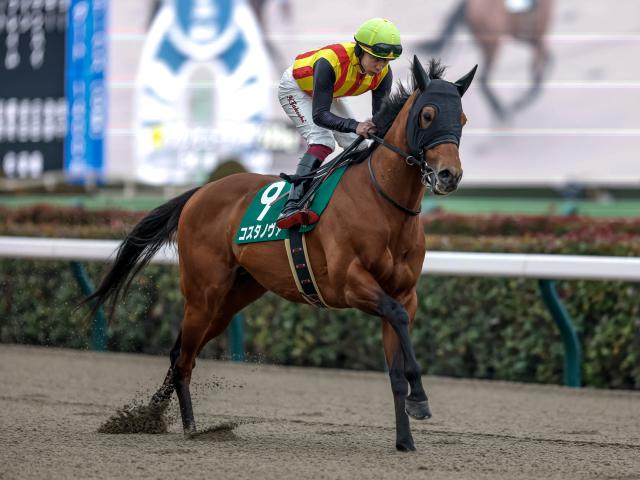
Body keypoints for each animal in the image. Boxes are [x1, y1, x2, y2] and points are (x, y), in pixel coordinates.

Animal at [85, 56, 476, 452]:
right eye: (427, 114)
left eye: (461, 119)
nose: (449, 175)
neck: (383, 204)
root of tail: (200, 192)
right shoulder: (350, 284)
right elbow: (395, 319)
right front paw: (420, 399)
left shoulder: (404, 294)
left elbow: (396, 359)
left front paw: (405, 439)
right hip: (202, 293)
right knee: (184, 359)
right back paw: (190, 427)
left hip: (233, 298)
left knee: (181, 351)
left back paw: (150, 417)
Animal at [420, 0, 552, 119]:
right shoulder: (539, 39)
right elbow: (538, 74)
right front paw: (521, 102)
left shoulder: (533, 40)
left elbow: (548, 62)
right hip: (493, 45)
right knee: (483, 78)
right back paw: (500, 110)